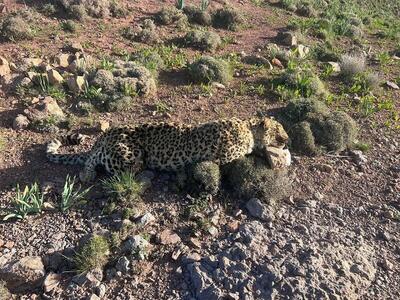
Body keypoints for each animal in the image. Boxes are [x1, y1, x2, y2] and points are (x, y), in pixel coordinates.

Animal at [47, 116, 290, 183]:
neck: (248, 128)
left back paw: (86, 174)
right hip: (130, 153)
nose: (287, 139)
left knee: (91, 159)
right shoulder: (226, 157)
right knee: (113, 164)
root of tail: (105, 135)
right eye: (280, 128)